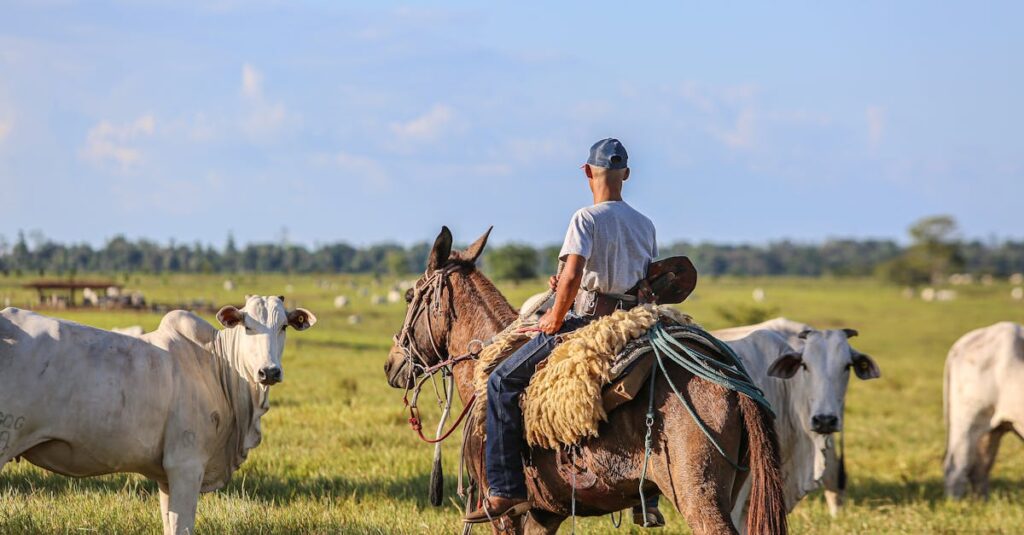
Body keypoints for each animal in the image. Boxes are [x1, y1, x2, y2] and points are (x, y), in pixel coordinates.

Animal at [0, 295, 316, 535]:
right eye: (247, 326)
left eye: (284, 326)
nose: (269, 371)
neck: (218, 365)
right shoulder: (186, 465)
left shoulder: (166, 476)